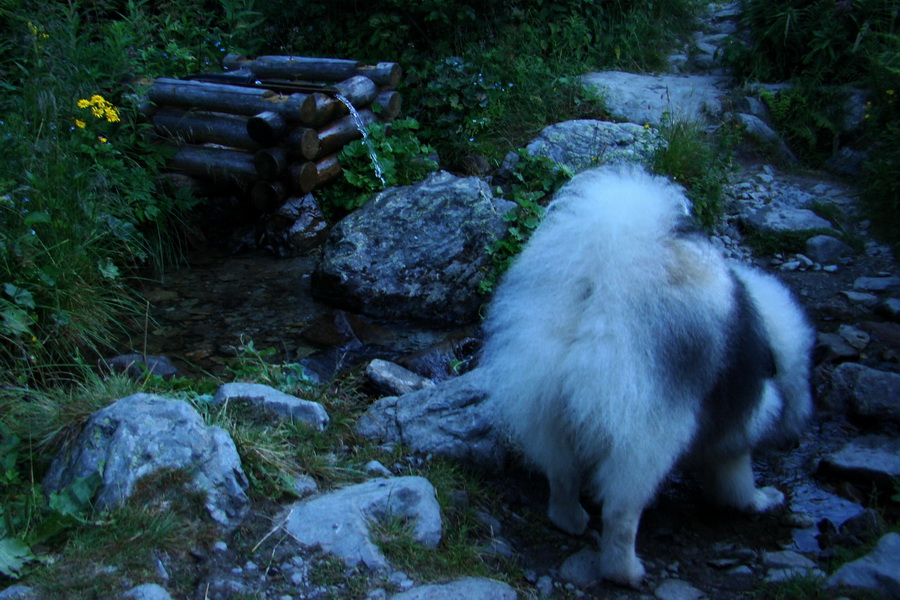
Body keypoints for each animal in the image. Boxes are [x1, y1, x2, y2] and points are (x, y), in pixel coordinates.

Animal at [482, 164, 820, 584]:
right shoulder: (740, 422)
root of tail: (604, 292)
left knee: (562, 475)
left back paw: (570, 520)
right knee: (621, 512)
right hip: (648, 432)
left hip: (546, 402)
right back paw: (625, 571)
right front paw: (760, 500)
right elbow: (737, 476)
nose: (796, 439)